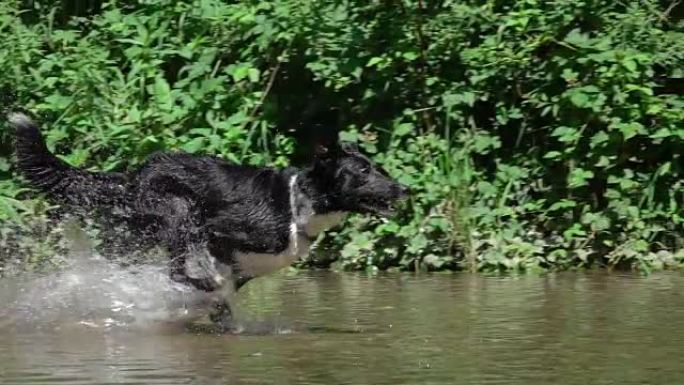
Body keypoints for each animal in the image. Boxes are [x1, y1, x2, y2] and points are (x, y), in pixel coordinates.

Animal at [9, 111, 406, 328]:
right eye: (363, 172)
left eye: (377, 168)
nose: (404, 189)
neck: (297, 206)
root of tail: (134, 176)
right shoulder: (216, 233)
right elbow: (204, 280)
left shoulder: (239, 270)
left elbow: (223, 301)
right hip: (179, 214)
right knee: (174, 270)